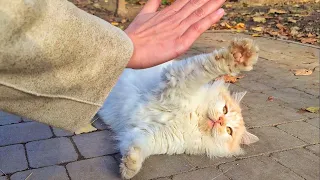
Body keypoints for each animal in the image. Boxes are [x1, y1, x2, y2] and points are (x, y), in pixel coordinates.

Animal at [99, 37, 260, 179]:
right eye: (225, 110)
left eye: (228, 130)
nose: (220, 120)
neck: (192, 117)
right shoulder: (179, 79)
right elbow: (214, 66)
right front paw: (241, 55)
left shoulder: (147, 134)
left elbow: (136, 147)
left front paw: (130, 167)